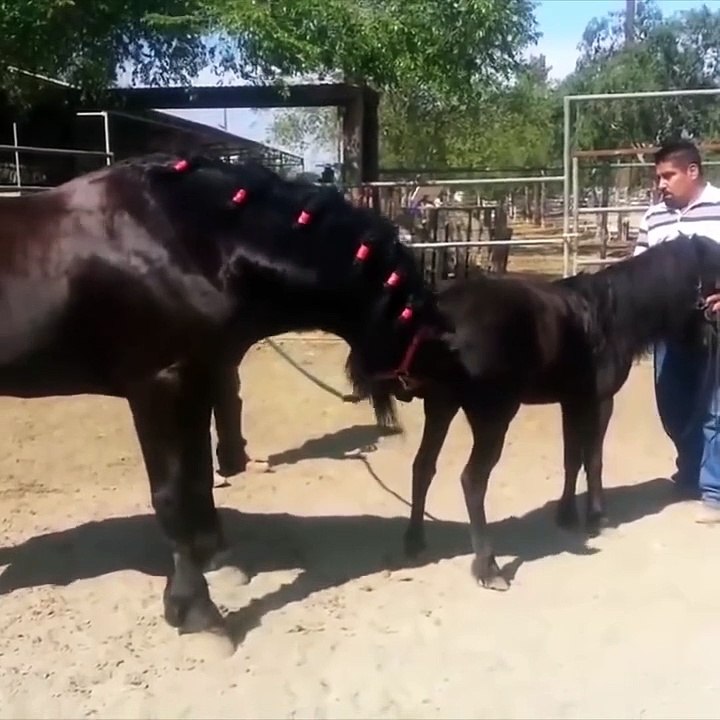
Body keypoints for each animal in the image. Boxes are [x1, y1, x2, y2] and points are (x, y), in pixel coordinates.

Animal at [0, 152, 440, 649]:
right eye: (412, 311)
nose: (419, 382)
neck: (185, 241)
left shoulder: (201, 378)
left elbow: (199, 479)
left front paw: (217, 561)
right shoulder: (160, 385)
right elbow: (173, 492)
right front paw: (195, 609)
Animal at [342, 234, 720, 591]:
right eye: (714, 274)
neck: (607, 316)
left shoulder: (572, 401)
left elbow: (572, 459)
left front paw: (567, 515)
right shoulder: (599, 402)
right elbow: (594, 458)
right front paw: (597, 517)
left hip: (441, 407)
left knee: (423, 467)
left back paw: (415, 541)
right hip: (493, 417)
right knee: (472, 480)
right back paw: (488, 567)